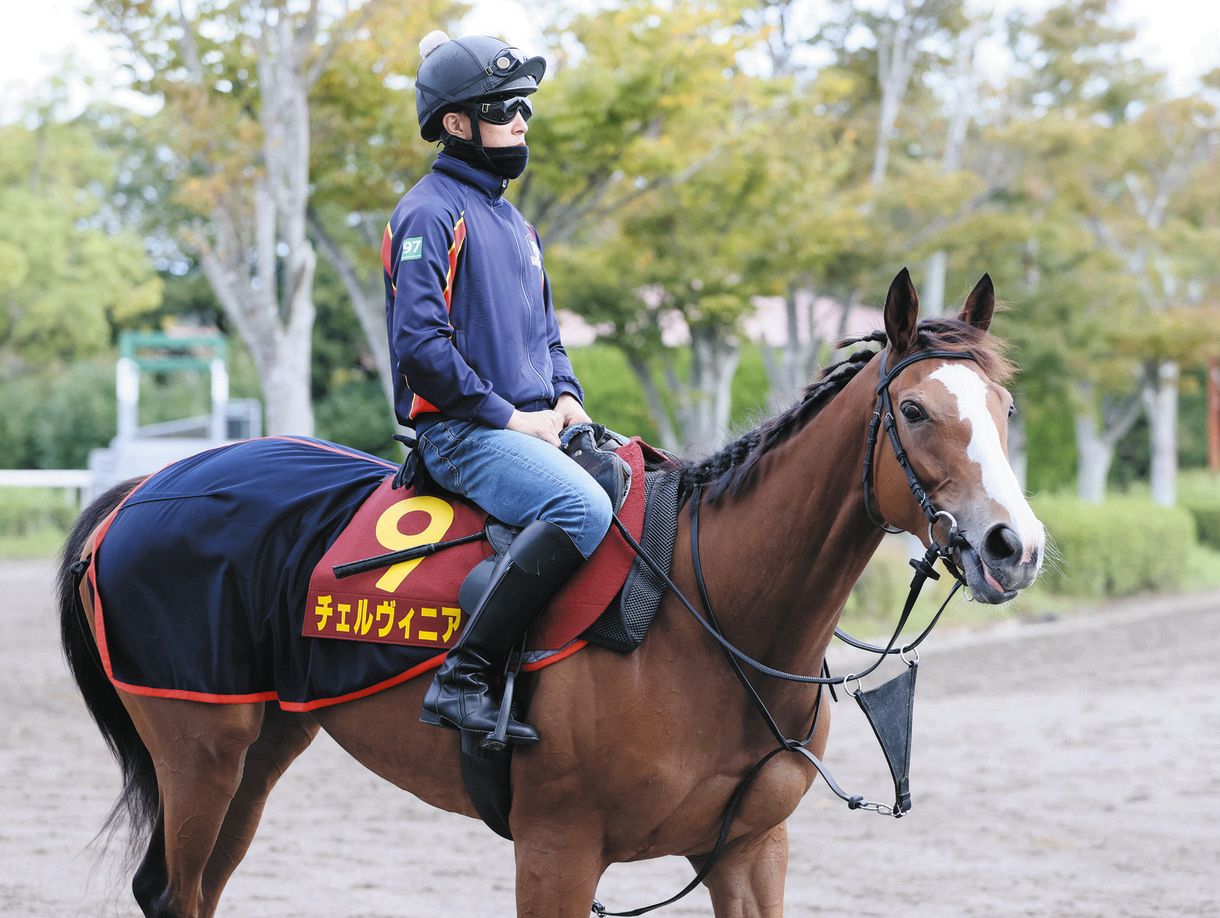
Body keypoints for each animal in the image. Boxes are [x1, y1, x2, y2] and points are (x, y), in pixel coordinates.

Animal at [58, 268, 1044, 917]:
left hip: (264, 744)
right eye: (914, 410)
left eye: (1004, 409)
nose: (1015, 545)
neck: (703, 616)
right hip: (200, 749)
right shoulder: (557, 851)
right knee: (170, 891)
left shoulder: (751, 852)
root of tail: (142, 491)